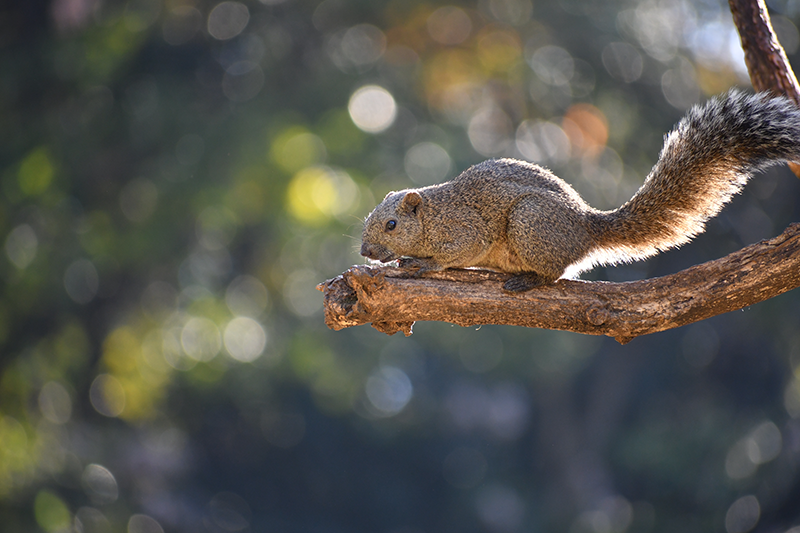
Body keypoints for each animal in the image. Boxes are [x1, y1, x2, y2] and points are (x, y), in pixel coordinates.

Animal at [360, 91, 800, 290]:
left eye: (392, 224)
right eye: (367, 220)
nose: (364, 251)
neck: (434, 215)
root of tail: (587, 227)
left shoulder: (465, 229)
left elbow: (457, 253)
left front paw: (422, 264)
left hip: (531, 222)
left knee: (555, 272)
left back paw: (530, 280)